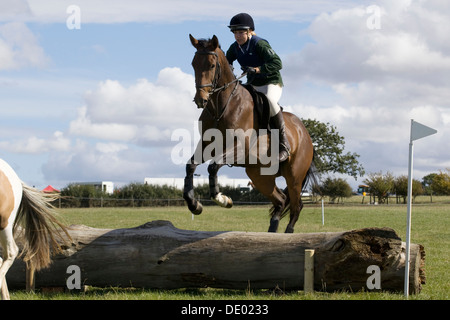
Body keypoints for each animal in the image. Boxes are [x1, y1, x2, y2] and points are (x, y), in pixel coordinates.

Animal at [184, 35, 316, 234]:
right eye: (193, 64)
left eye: (212, 65)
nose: (201, 100)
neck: (220, 107)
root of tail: (305, 133)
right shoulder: (207, 144)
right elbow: (191, 166)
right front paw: (195, 205)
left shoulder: (239, 148)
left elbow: (213, 167)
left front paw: (224, 200)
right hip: (259, 175)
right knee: (280, 200)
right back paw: (272, 230)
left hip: (294, 176)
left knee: (296, 205)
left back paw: (288, 233)